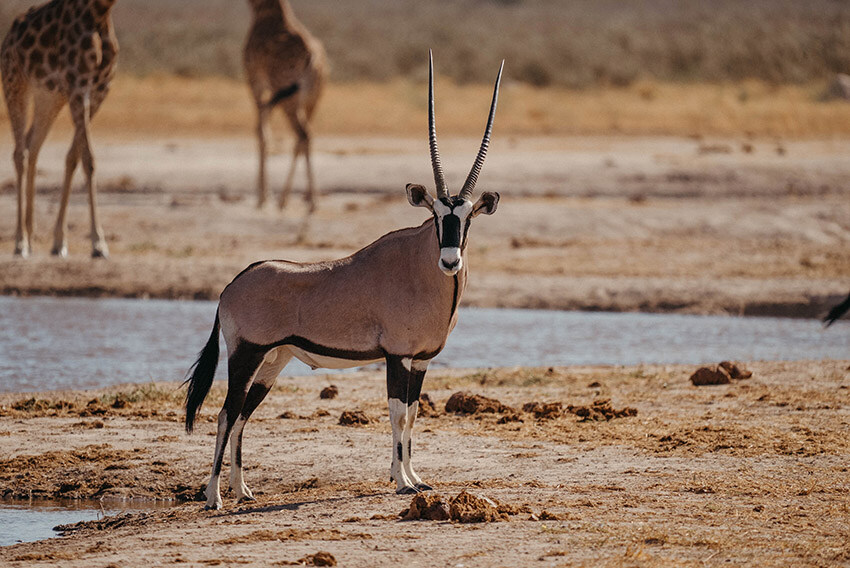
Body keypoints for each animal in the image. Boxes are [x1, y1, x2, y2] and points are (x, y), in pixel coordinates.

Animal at [0, 0, 117, 258]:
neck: (101, 10)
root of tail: (9, 35)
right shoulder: (78, 84)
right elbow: (88, 159)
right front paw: (98, 243)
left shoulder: (99, 89)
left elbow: (75, 157)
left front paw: (60, 241)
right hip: (15, 83)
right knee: (20, 153)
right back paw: (20, 241)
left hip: (50, 97)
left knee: (32, 145)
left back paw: (31, 234)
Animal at [184, 53, 504, 510]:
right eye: (438, 215)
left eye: (467, 218)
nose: (450, 260)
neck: (420, 267)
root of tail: (231, 286)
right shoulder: (397, 356)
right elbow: (397, 414)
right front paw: (403, 482)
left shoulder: (421, 360)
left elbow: (413, 414)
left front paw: (415, 477)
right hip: (246, 354)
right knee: (227, 413)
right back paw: (214, 496)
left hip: (272, 361)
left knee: (243, 414)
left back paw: (241, 489)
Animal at [245, 0, 328, 212]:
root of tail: (313, 58)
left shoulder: (255, 82)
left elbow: (262, 133)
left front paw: (262, 198)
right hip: (312, 100)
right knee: (306, 136)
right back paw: (297, 199)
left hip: (287, 96)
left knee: (302, 134)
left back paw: (303, 201)